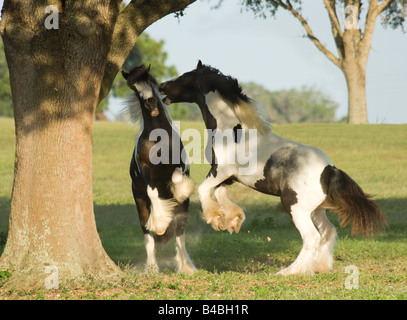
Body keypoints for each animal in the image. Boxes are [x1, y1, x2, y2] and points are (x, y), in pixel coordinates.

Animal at [122, 65, 197, 276]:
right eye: (133, 86)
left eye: (150, 81)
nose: (151, 103)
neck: (158, 138)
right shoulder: (145, 171)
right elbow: (152, 191)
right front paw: (161, 222)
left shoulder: (179, 164)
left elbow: (178, 178)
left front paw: (180, 191)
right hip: (140, 205)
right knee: (149, 237)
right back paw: (152, 267)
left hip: (184, 211)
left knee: (180, 235)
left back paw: (187, 267)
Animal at [158, 61, 388, 276]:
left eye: (185, 77)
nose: (162, 86)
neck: (232, 131)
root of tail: (329, 170)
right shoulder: (230, 177)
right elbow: (221, 194)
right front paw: (231, 221)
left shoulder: (220, 171)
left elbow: (203, 190)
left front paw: (215, 219)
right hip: (316, 209)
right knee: (328, 232)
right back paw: (320, 267)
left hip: (295, 206)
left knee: (311, 237)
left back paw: (289, 272)